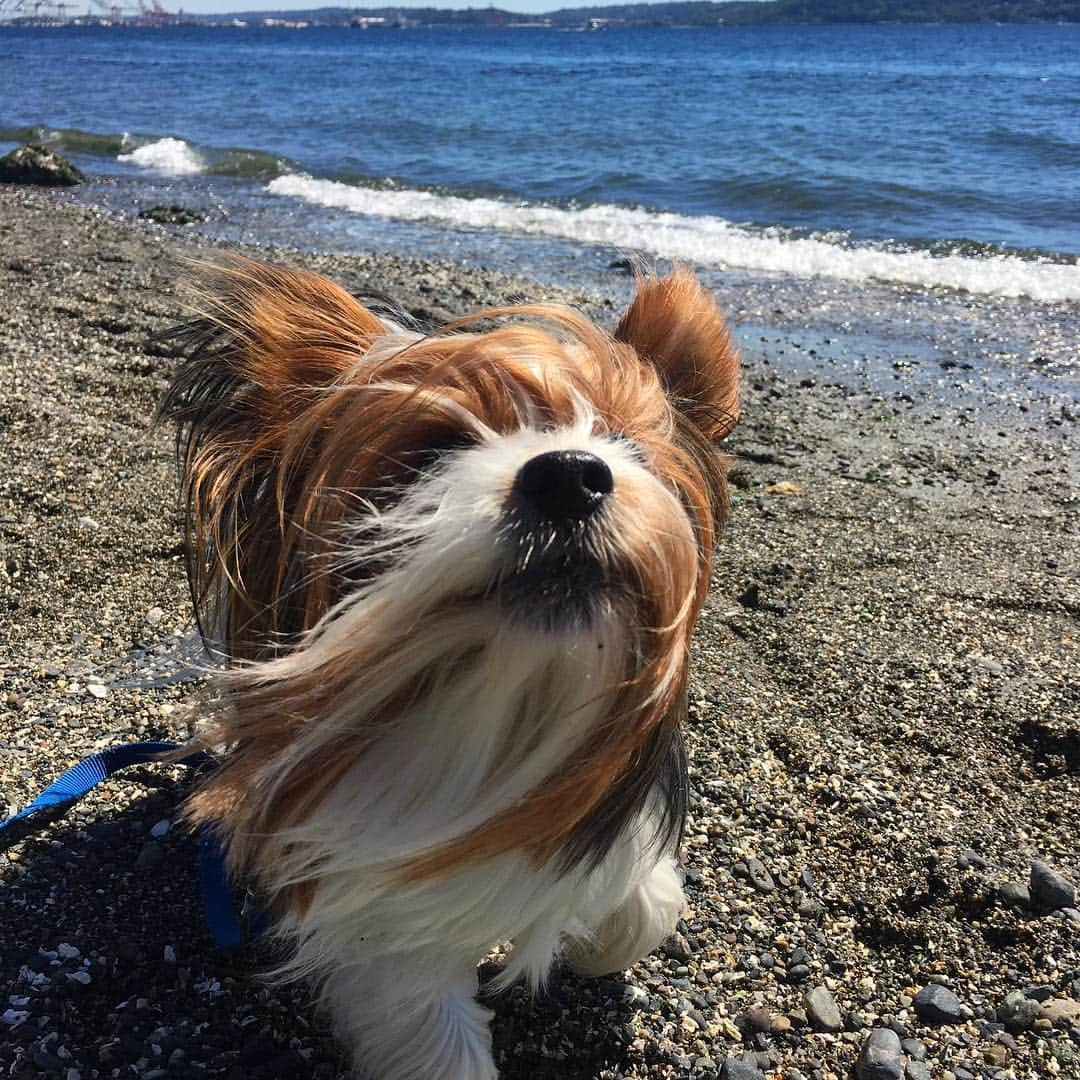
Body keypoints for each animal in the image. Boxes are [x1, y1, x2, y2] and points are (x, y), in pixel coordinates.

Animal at [159, 257, 738, 1075]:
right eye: (435, 450)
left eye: (623, 440)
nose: (569, 474)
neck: (502, 695)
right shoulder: (378, 917)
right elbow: (430, 1029)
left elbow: (645, 900)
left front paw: (598, 943)